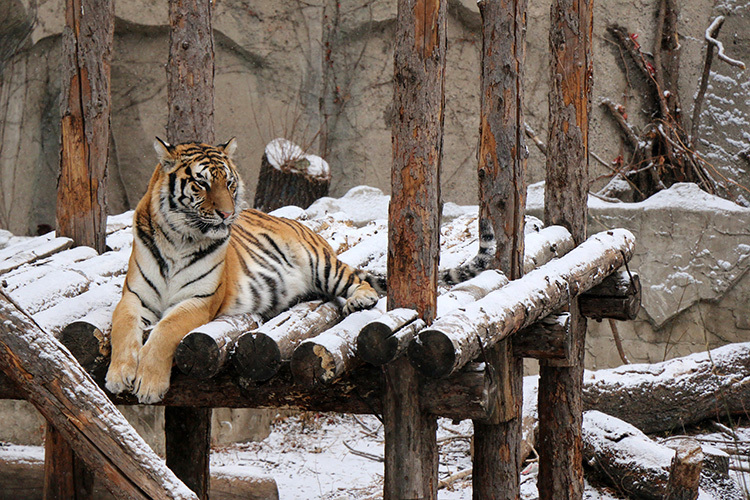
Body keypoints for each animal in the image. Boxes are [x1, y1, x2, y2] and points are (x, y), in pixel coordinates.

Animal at [104, 139, 494, 404]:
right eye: (201, 183)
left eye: (229, 183)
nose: (228, 214)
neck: (178, 239)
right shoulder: (133, 297)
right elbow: (123, 328)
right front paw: (118, 376)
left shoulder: (199, 301)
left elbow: (165, 332)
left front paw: (149, 385)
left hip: (321, 263)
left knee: (358, 281)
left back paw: (358, 300)